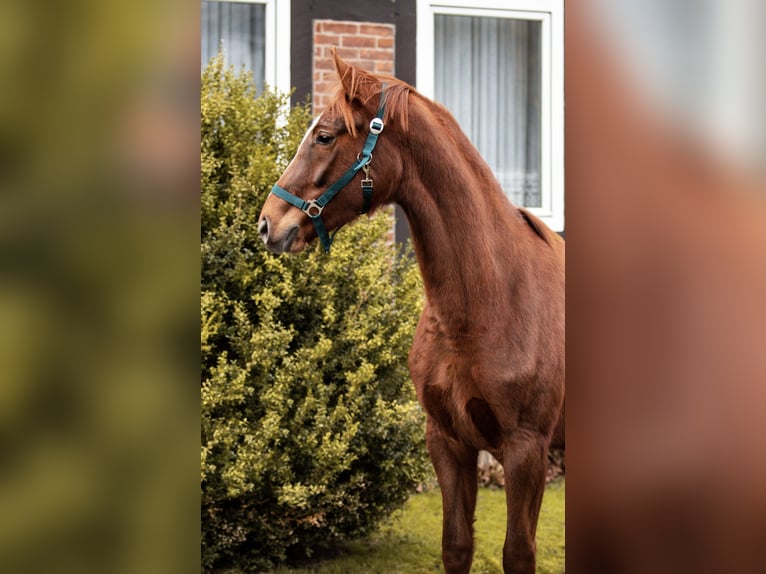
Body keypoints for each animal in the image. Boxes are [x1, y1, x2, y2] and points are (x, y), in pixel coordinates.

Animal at [260, 50, 568, 574]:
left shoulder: (527, 449)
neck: (489, 303)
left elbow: (518, 552)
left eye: (325, 136)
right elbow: (457, 545)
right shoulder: (447, 441)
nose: (267, 224)